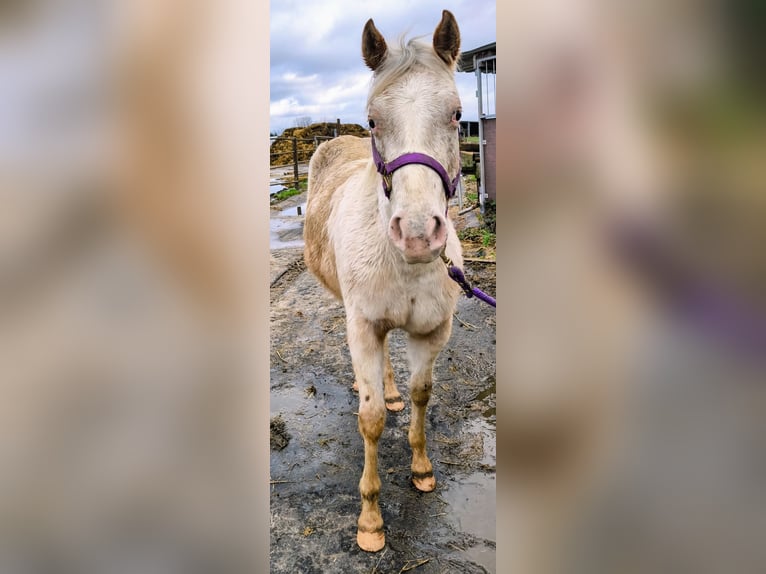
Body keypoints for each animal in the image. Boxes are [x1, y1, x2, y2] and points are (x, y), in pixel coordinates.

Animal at [304, 11, 462, 556]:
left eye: (457, 114)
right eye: (373, 120)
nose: (416, 233)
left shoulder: (432, 331)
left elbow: (421, 394)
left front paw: (421, 468)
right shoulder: (364, 326)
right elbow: (370, 421)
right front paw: (370, 521)